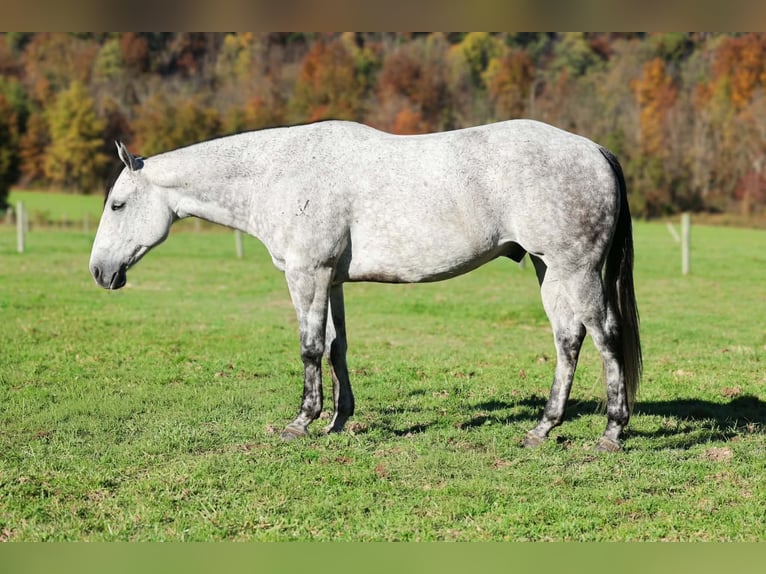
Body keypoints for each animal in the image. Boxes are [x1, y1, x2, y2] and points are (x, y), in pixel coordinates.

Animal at [89, 119, 641, 451]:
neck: (278, 173)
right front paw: (338, 420)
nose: (99, 272)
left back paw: (612, 432)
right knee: (568, 340)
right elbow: (337, 346)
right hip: (551, 272)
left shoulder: (306, 274)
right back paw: (543, 428)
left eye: (117, 204)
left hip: (577, 271)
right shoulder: (330, 279)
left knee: (606, 338)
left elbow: (310, 347)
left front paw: (302, 422)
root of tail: (595, 150)